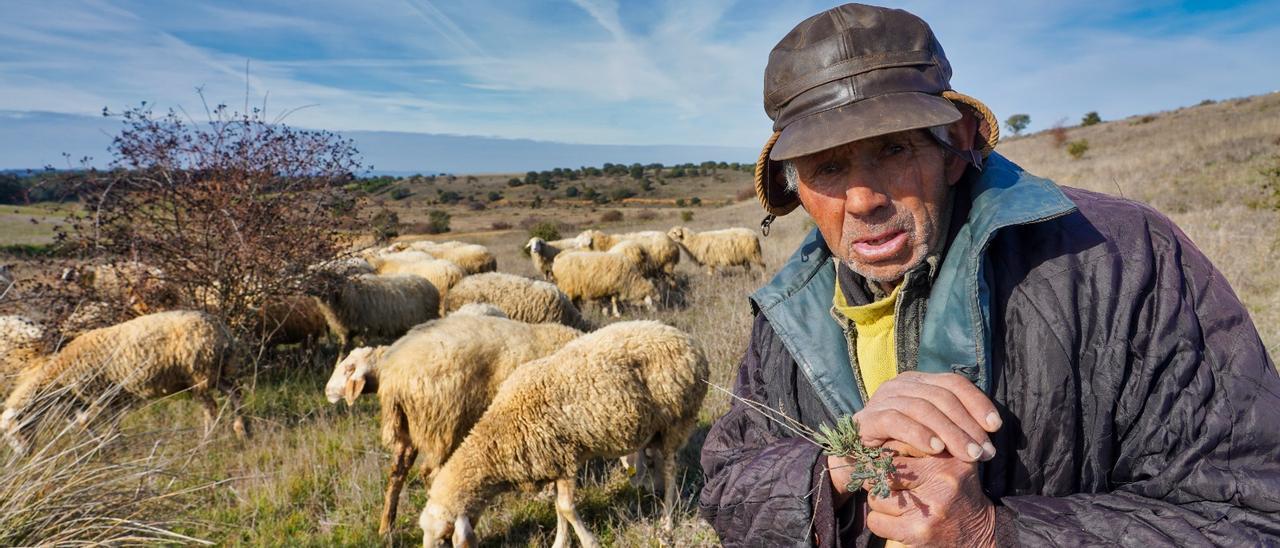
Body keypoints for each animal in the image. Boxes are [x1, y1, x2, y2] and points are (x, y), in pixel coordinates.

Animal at [0, 309, 247, 450]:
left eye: (15, 431)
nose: (24, 455)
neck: (61, 374)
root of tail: (222, 333)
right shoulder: (98, 398)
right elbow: (94, 422)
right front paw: (111, 444)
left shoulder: (100, 394)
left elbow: (88, 422)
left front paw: (108, 446)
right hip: (217, 372)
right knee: (235, 392)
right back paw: (243, 429)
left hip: (198, 373)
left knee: (211, 407)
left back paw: (207, 442)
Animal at [308, 272, 440, 355]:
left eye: (322, 282)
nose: (307, 290)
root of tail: (431, 285)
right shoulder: (347, 332)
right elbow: (343, 351)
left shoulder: (366, 328)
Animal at [322, 312, 583, 535]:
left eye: (349, 368)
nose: (326, 391)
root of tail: (395, 375)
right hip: (444, 424)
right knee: (432, 474)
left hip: (414, 429)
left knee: (397, 471)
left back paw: (387, 527)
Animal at [424, 321, 716, 548]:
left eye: (444, 539)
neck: (498, 435)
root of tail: (690, 342)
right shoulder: (553, 463)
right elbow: (558, 507)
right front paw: (560, 542)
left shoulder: (564, 459)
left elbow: (565, 507)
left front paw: (589, 541)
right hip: (654, 428)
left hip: (676, 420)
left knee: (670, 468)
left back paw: (667, 521)